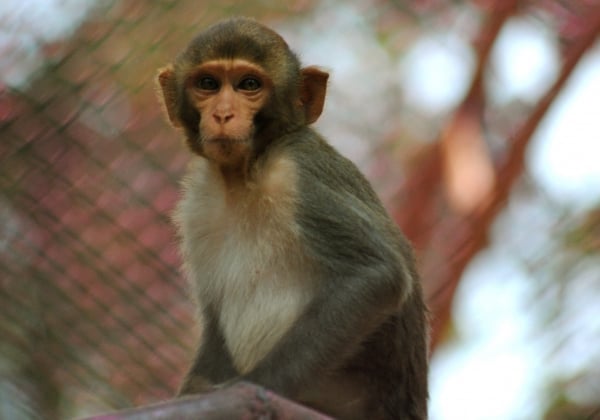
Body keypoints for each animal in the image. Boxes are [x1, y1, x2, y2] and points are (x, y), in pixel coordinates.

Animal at [155, 17, 426, 420]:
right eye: (208, 84)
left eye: (249, 85)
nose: (222, 114)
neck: (244, 176)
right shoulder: (198, 207)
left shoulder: (298, 175)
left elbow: (378, 274)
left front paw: (250, 389)